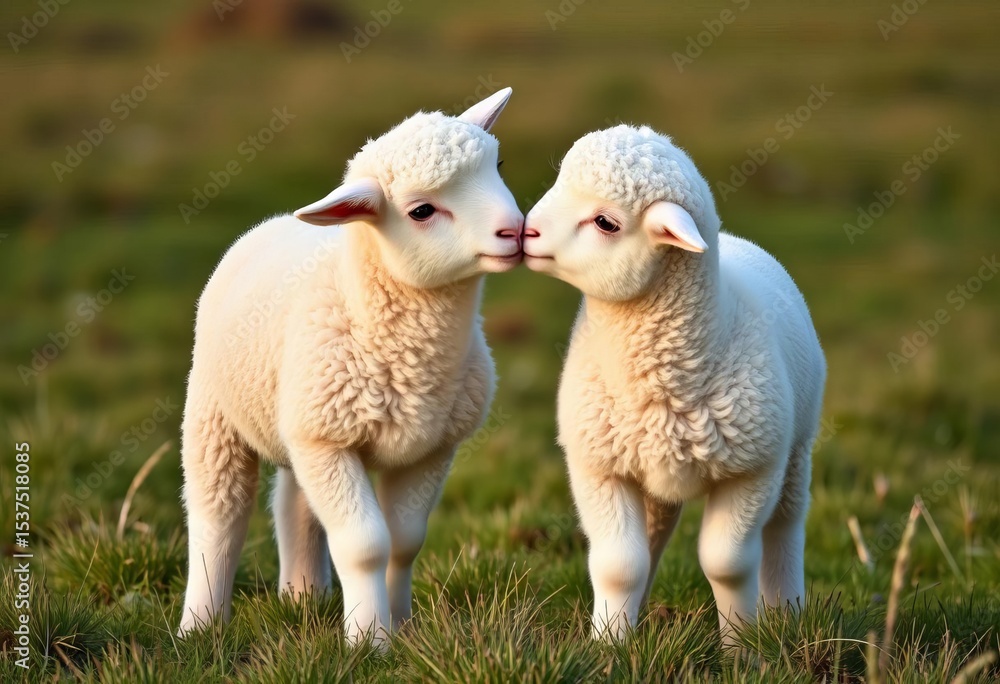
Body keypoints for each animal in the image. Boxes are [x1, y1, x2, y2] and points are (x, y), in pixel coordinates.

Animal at [177, 88, 524, 646]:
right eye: (421, 210)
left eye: (498, 166)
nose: (514, 231)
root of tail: (275, 220)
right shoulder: (329, 441)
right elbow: (364, 546)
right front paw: (369, 639)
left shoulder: (429, 448)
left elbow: (404, 541)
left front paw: (400, 625)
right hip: (216, 411)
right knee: (219, 516)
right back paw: (200, 625)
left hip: (299, 428)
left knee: (293, 505)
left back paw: (301, 597)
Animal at [522, 124, 826, 645]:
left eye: (605, 222)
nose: (524, 232)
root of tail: (733, 239)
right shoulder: (599, 467)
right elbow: (620, 566)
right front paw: (609, 644)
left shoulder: (751, 471)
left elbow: (727, 565)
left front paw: (742, 647)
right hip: (651, 473)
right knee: (654, 539)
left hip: (796, 450)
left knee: (786, 526)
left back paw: (787, 613)